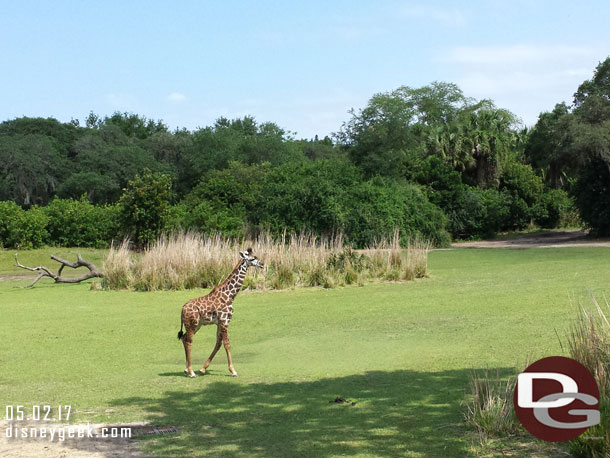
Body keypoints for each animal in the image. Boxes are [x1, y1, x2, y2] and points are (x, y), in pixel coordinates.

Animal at [176, 249, 262, 378]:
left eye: (255, 256)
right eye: (252, 259)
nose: (262, 264)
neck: (230, 295)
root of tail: (182, 309)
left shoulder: (219, 322)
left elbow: (218, 343)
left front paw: (203, 368)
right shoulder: (225, 320)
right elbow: (227, 343)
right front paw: (233, 370)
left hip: (196, 325)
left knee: (184, 338)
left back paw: (187, 370)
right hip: (192, 324)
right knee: (188, 341)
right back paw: (191, 372)